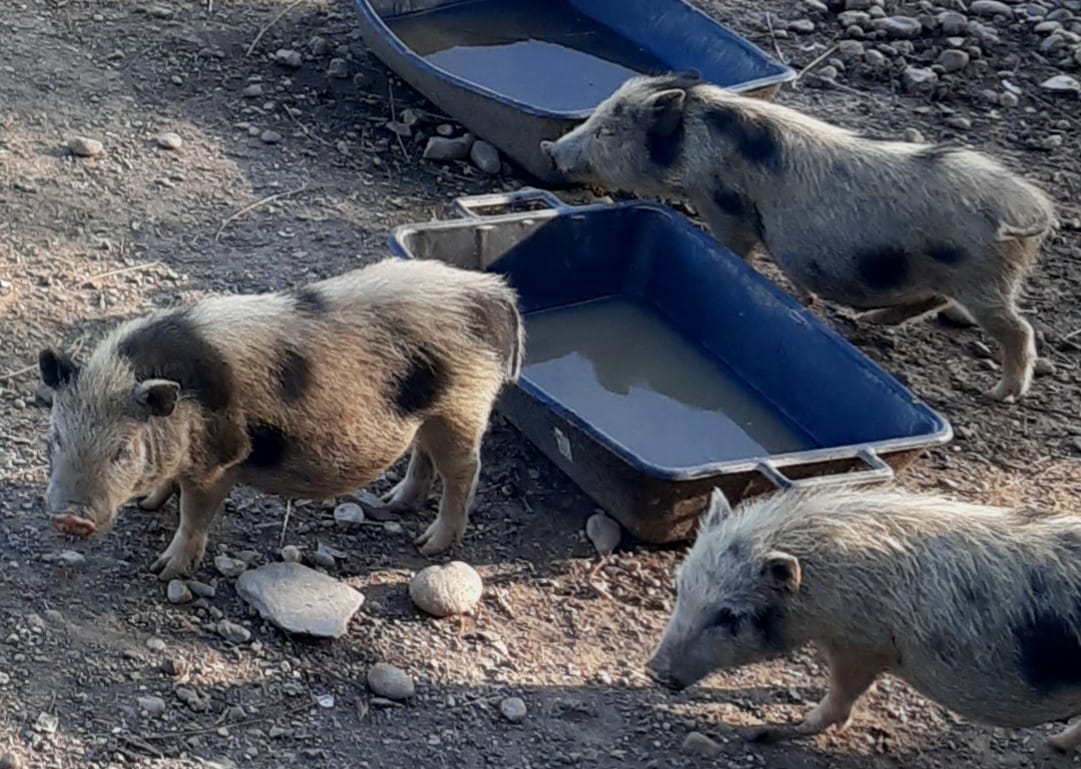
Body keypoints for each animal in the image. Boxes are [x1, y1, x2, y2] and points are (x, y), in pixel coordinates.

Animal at [38, 258, 518, 579]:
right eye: (56, 438)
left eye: (121, 452)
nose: (70, 518)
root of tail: (490, 291)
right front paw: (147, 505)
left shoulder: (222, 459)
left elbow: (194, 515)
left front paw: (166, 571)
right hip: (430, 415)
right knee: (424, 454)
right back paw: (393, 502)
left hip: (463, 406)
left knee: (464, 471)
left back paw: (429, 546)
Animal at [540, 73, 1055, 402]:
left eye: (608, 131)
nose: (551, 149)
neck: (696, 145)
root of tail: (1030, 207)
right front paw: (804, 301)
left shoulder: (725, 206)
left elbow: (735, 248)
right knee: (932, 300)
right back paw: (867, 322)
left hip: (981, 279)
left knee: (1018, 328)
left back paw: (1000, 395)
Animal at [644, 486, 1081, 752]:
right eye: (680, 587)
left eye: (729, 614)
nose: (655, 671)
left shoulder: (862, 644)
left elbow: (844, 691)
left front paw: (788, 728)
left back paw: (1053, 744)